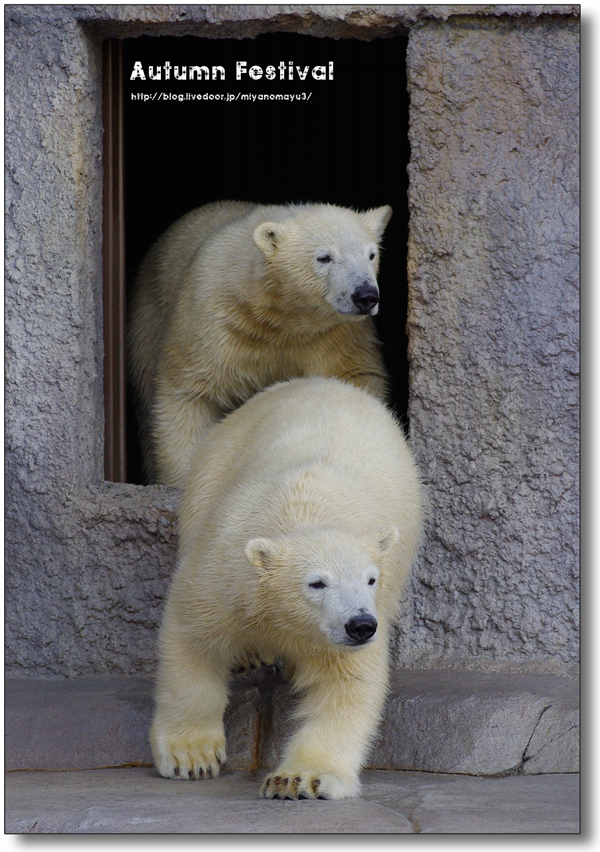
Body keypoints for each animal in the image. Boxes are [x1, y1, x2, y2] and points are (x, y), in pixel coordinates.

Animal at [126, 201, 394, 490]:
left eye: (371, 254)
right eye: (324, 257)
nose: (365, 296)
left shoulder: (337, 335)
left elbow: (354, 377)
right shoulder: (215, 324)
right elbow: (190, 394)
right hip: (148, 318)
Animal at [149, 376, 422, 796]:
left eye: (371, 578)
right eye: (317, 583)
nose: (361, 625)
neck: (304, 514)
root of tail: (320, 381)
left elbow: (345, 684)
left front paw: (299, 778)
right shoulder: (224, 573)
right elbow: (193, 641)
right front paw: (191, 757)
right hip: (211, 469)